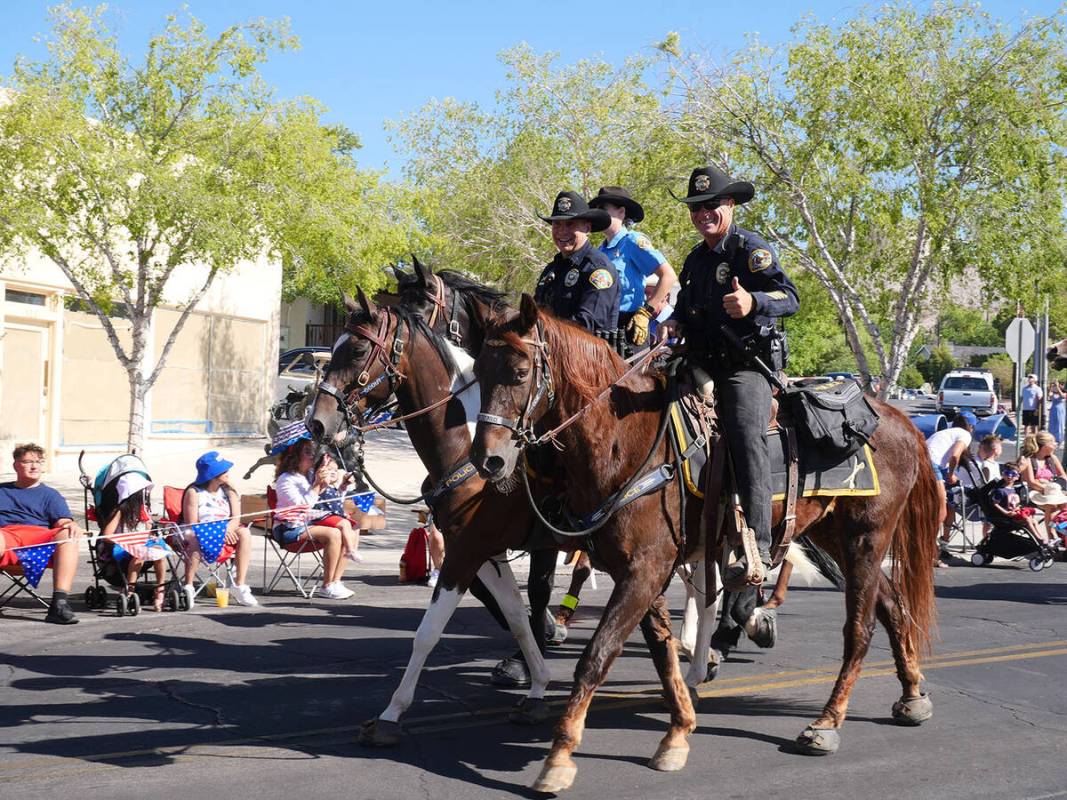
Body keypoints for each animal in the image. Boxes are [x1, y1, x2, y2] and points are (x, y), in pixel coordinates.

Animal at [471, 294, 938, 797]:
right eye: (478, 369)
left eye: (520, 372)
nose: (488, 459)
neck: (624, 442)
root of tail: (900, 419)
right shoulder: (640, 571)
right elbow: (660, 651)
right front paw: (677, 733)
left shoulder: (644, 570)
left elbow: (597, 655)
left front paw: (558, 757)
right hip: (834, 535)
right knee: (892, 605)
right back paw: (912, 695)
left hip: (866, 537)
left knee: (860, 629)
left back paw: (826, 723)